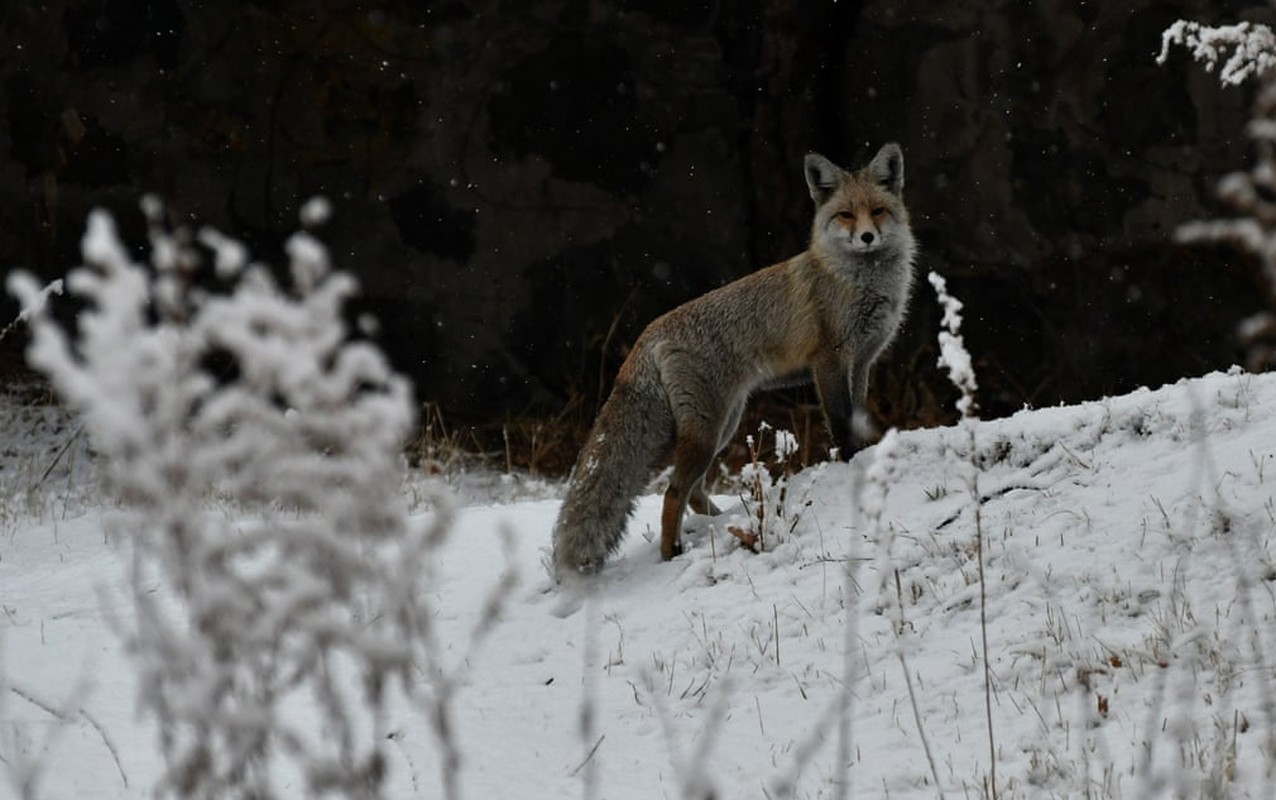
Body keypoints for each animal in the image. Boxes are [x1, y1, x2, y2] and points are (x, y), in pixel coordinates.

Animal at [553, 142, 913, 576]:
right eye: (845, 214)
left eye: (877, 210)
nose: (866, 236)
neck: (858, 283)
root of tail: (649, 332)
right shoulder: (829, 360)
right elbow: (842, 425)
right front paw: (851, 464)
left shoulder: (860, 363)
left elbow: (857, 417)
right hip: (709, 429)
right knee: (673, 491)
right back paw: (672, 553)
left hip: (723, 426)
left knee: (693, 492)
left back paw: (720, 523)